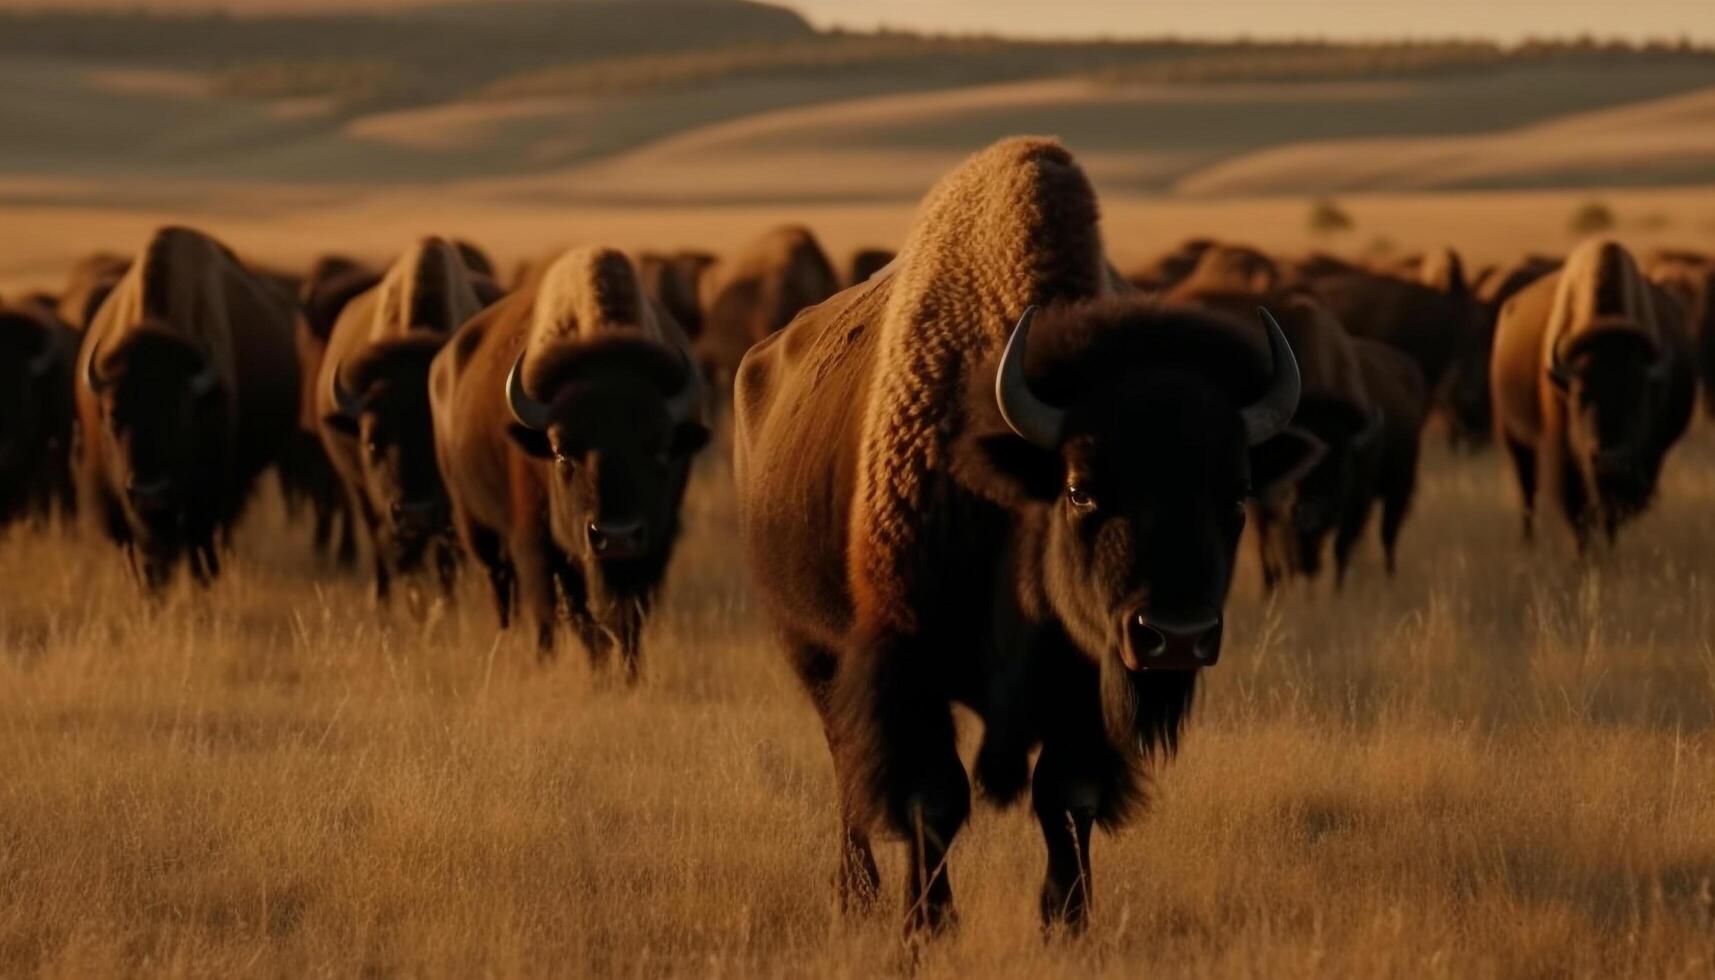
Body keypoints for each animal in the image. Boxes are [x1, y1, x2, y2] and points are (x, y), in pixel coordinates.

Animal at [432, 247, 706, 676]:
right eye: (561, 454)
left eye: (660, 450)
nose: (616, 536)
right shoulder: (538, 546)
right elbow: (572, 619)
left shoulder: (654, 548)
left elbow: (628, 621)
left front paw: (628, 678)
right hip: (475, 524)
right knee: (505, 591)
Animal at [730, 141, 1303, 940]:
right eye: (1080, 489)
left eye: (1236, 496)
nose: (1177, 637)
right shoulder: (905, 664)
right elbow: (933, 798)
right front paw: (927, 924)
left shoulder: (1086, 677)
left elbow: (1065, 795)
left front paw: (1068, 918)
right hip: (809, 645)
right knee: (846, 759)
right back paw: (857, 892)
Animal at [1495, 238, 1694, 552]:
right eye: (1580, 397)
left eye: (1639, 397)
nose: (1610, 459)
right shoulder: (1566, 459)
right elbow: (1578, 514)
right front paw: (1584, 557)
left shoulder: (1643, 461)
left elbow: (1613, 514)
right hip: (1514, 438)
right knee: (1528, 494)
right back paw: (1529, 544)